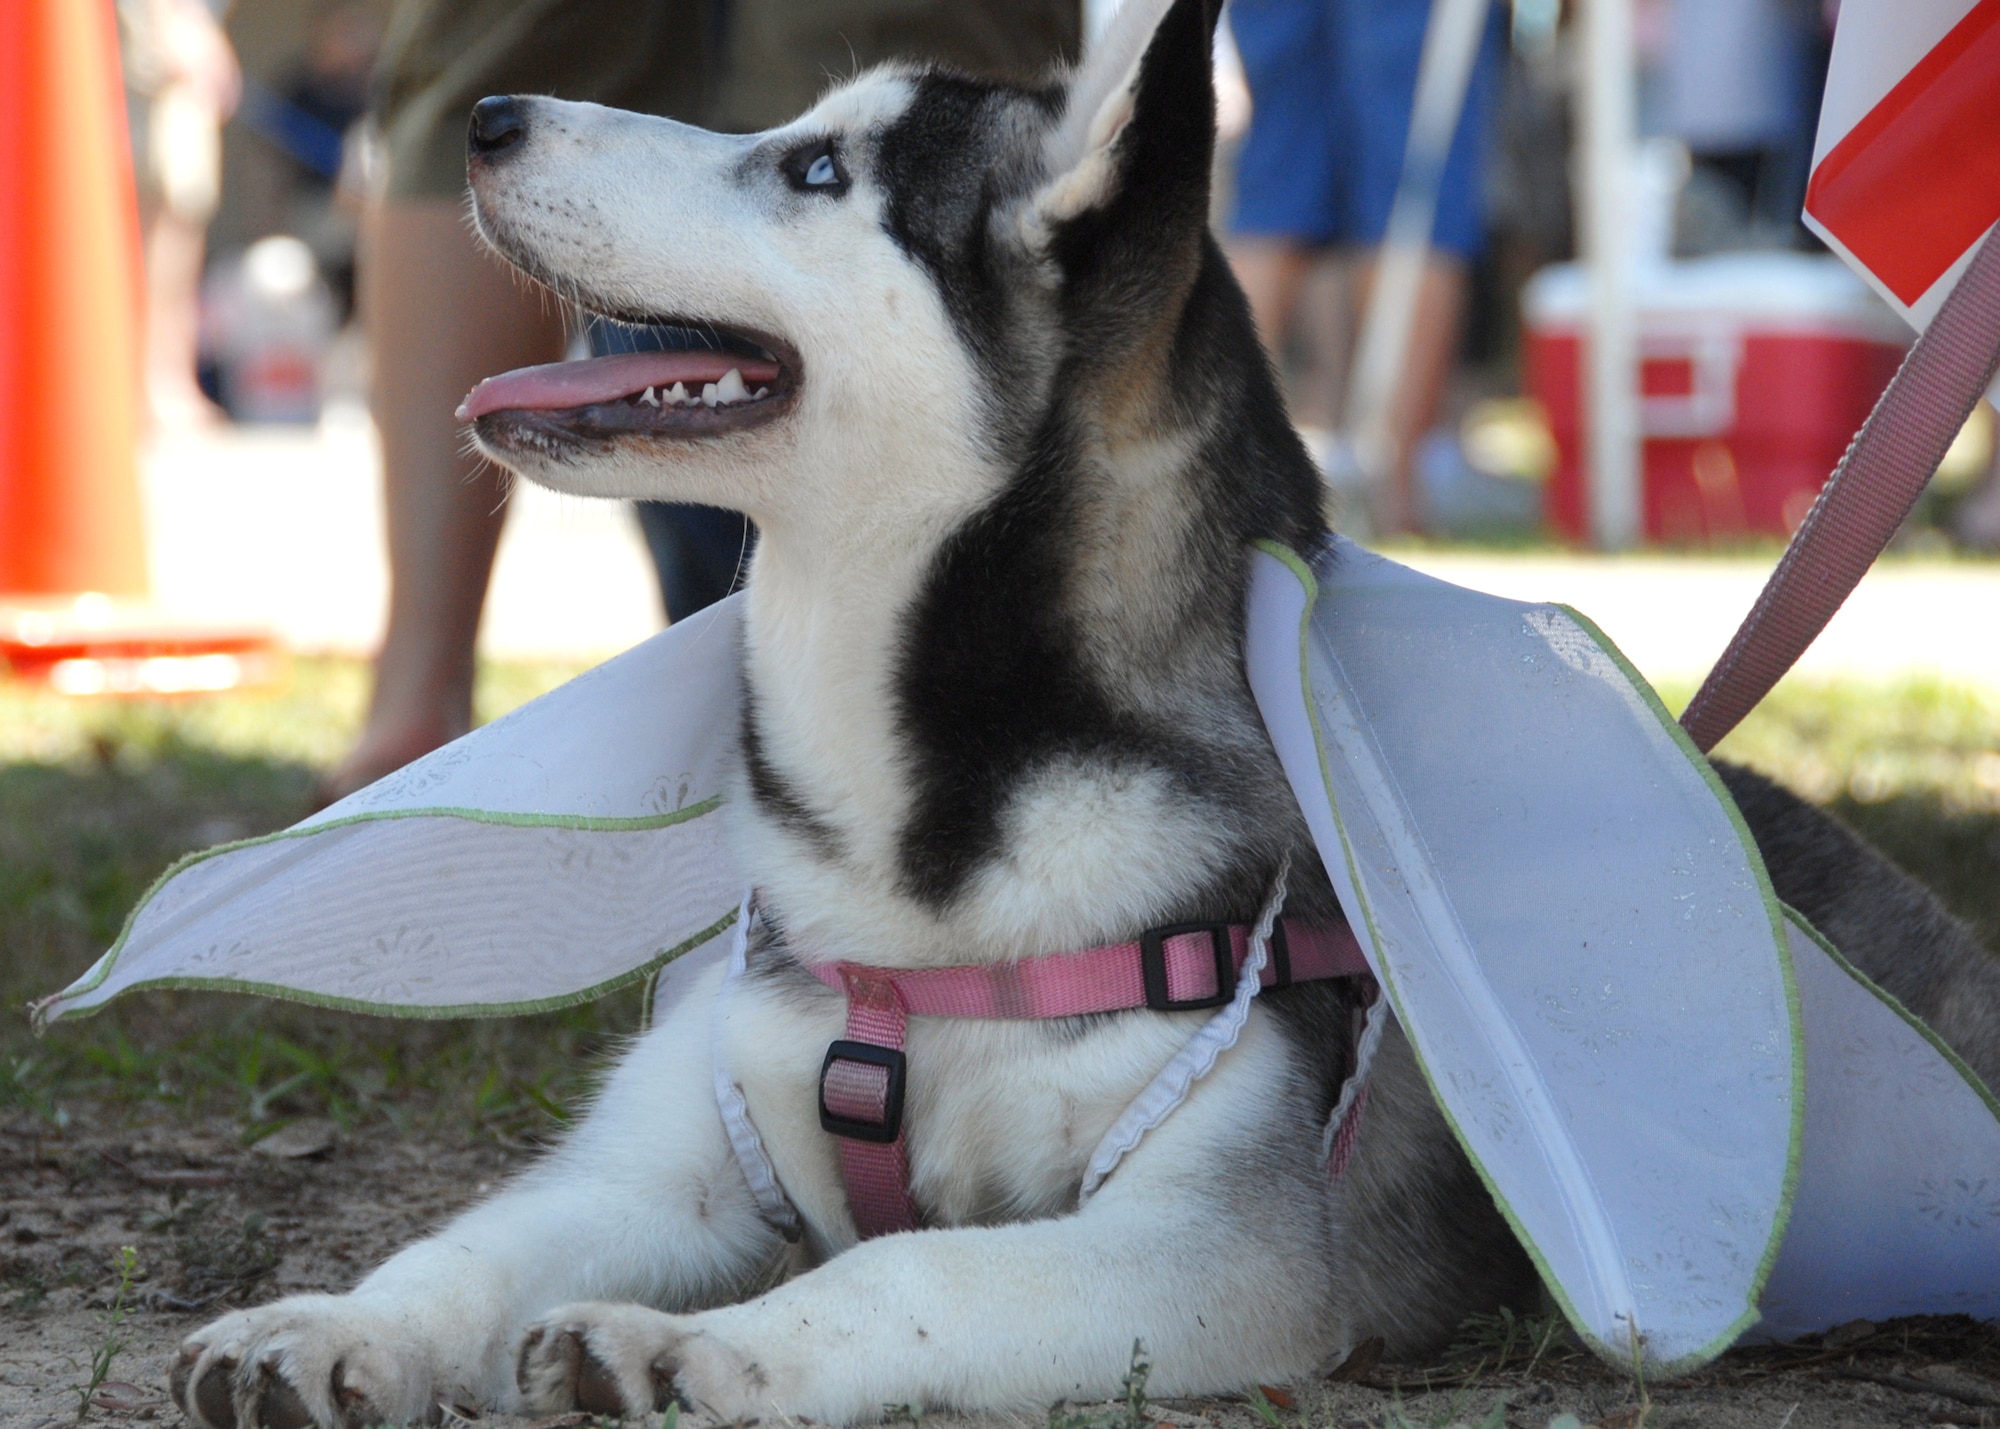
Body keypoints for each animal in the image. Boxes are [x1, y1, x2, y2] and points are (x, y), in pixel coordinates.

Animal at [172, 2, 2000, 1424]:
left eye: (816, 171)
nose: (486, 122)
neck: (922, 849)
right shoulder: (669, 1153)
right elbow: (470, 1242)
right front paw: (332, 1323)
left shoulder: (1218, 1244)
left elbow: (918, 1263)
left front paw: (708, 1348)